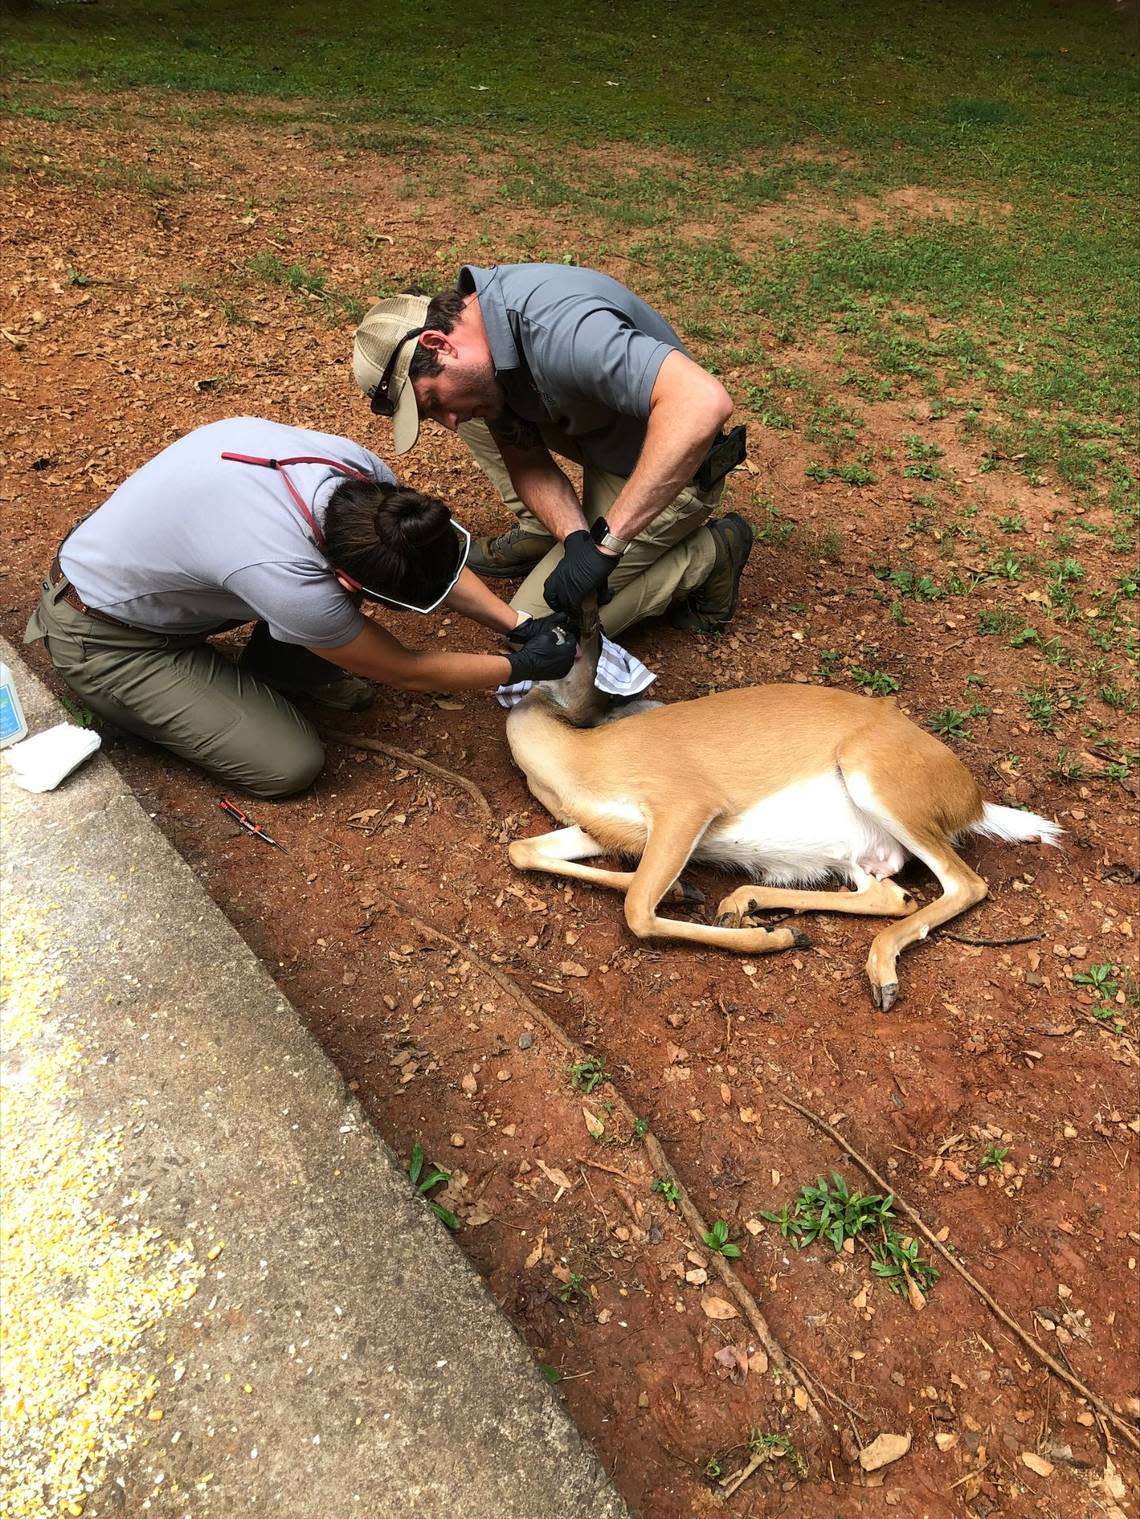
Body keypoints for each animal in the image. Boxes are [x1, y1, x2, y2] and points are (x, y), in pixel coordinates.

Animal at [507, 601, 1064, 1008]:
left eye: (563, 637)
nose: (580, 619)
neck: (577, 760)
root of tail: (973, 800)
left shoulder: (685, 804)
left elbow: (638, 909)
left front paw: (770, 939)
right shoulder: (604, 828)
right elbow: (523, 851)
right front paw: (689, 891)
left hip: (876, 780)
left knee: (964, 883)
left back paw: (871, 969)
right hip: (862, 851)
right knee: (889, 894)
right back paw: (746, 903)